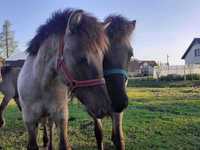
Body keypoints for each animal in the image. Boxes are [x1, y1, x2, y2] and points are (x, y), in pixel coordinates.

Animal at [17, 8, 111, 149]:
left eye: (102, 59)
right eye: (82, 58)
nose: (105, 108)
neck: (41, 83)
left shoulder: (61, 116)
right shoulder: (29, 120)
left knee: (49, 124)